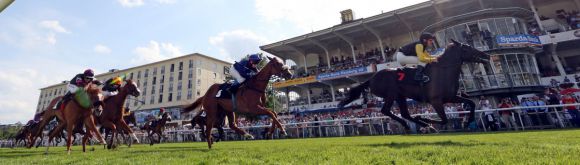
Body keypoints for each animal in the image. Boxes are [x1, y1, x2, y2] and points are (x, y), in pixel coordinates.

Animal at [340, 39, 490, 131]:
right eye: (467, 48)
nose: (486, 55)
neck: (443, 72)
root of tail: (371, 78)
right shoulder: (436, 101)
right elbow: (444, 120)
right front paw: (424, 118)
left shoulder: (451, 97)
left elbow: (471, 103)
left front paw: (468, 121)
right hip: (391, 95)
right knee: (386, 111)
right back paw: (411, 125)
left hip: (400, 96)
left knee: (405, 114)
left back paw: (420, 124)